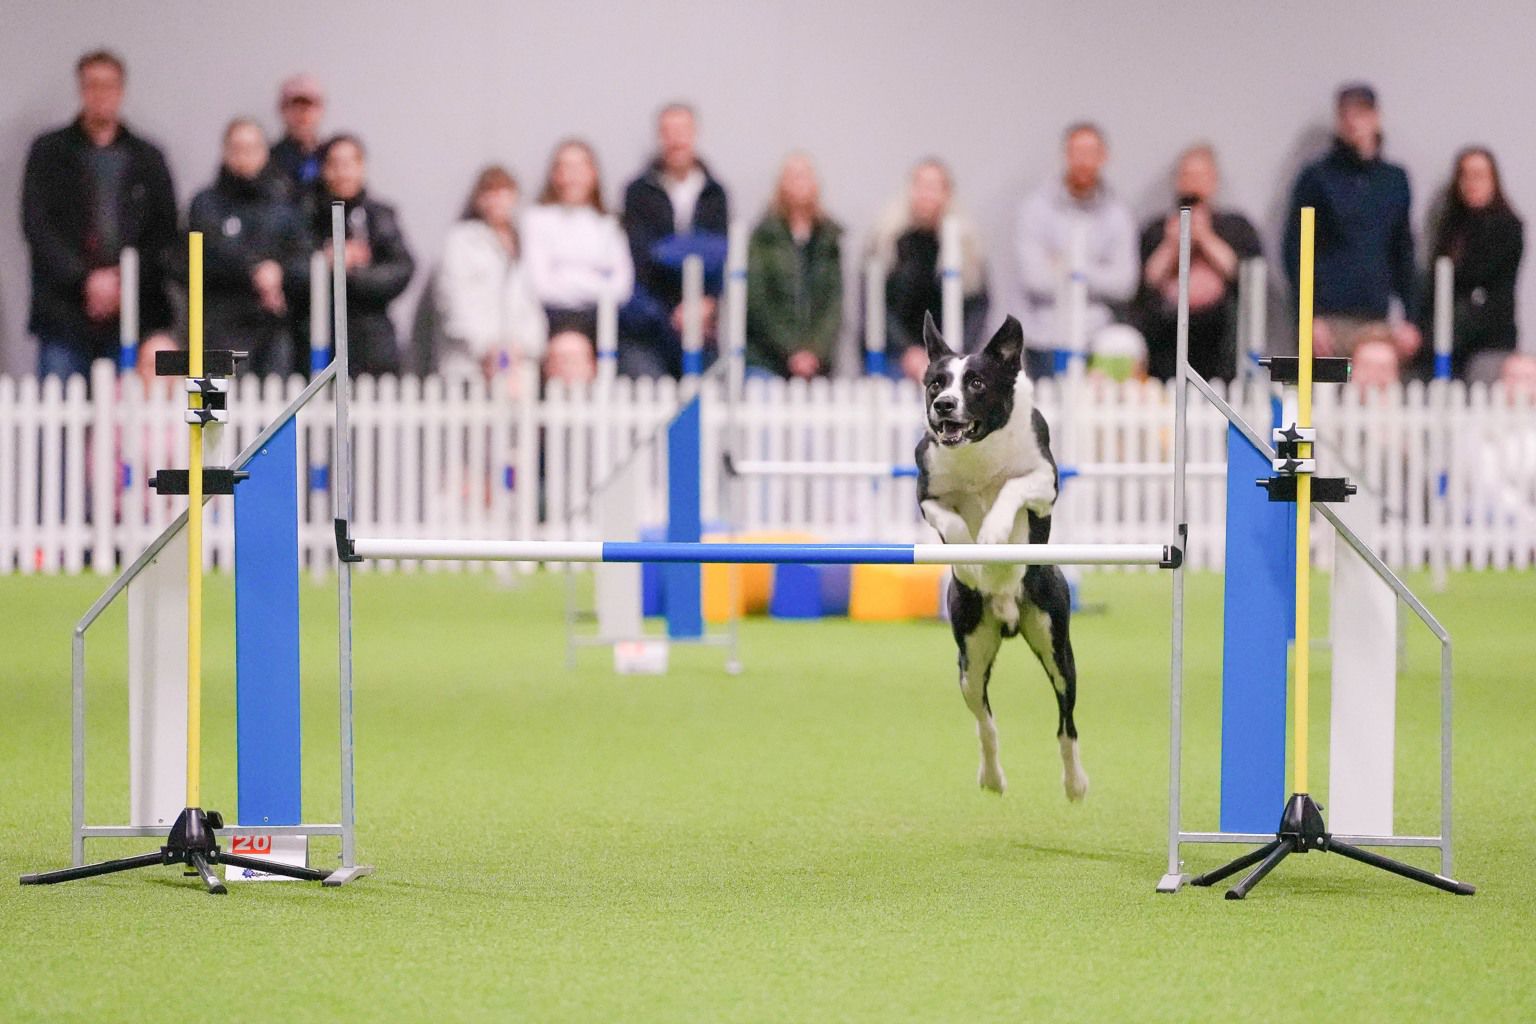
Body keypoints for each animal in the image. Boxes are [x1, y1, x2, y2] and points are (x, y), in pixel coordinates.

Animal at [915, 310, 1087, 798]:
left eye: (976, 382)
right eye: (936, 384)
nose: (944, 405)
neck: (977, 446)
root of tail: (1009, 616)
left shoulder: (1045, 483)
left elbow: (1011, 487)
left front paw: (992, 531)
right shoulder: (926, 491)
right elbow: (952, 522)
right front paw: (972, 559)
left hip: (1056, 644)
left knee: (1066, 723)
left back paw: (1075, 783)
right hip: (969, 659)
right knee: (985, 722)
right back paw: (992, 778)